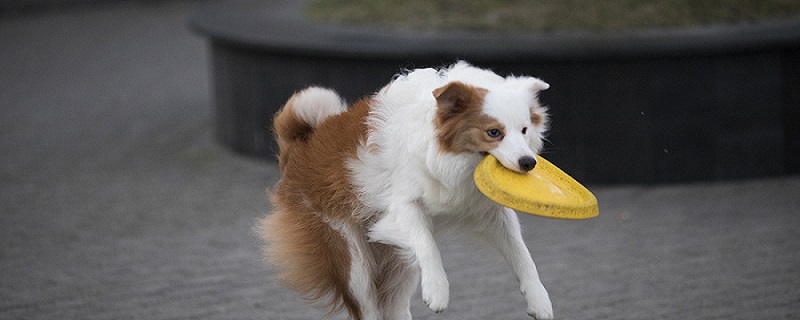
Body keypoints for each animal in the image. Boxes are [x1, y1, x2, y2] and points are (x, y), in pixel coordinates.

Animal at [260, 61, 552, 318]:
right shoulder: (402, 206)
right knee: (366, 305)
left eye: (524, 130)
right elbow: (427, 243)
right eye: (493, 132)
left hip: (397, 264)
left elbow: (521, 253)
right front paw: (437, 290)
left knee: (395, 306)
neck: (453, 160)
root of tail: (299, 148)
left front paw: (539, 298)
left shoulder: (491, 212)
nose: (528, 163)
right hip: (351, 262)